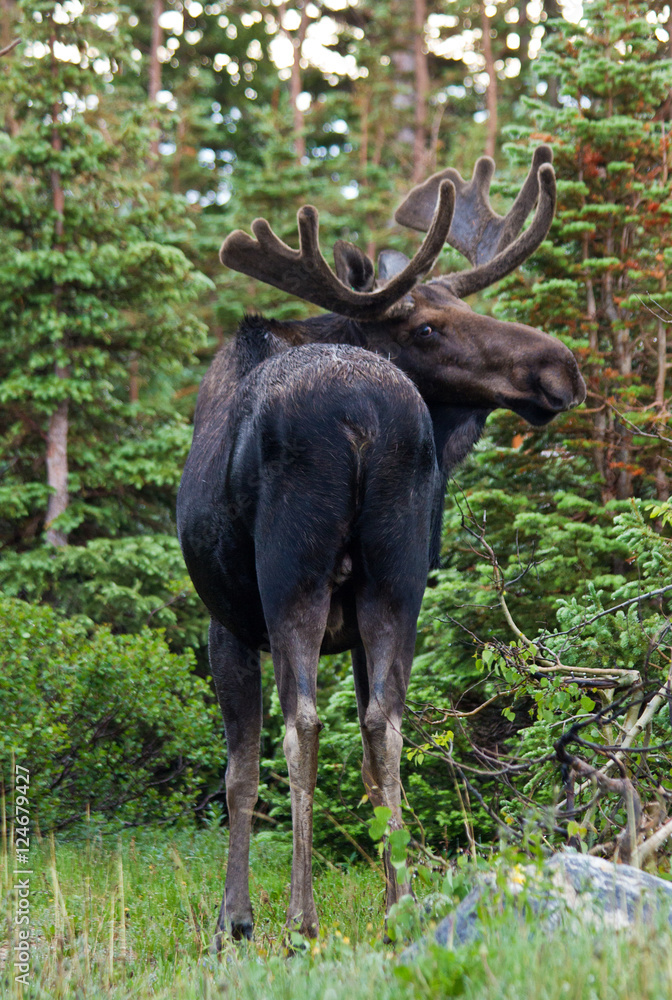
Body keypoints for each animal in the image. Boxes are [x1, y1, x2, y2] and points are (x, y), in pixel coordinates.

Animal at [176, 146, 586, 947]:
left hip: (292, 573)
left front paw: (233, 918)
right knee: (386, 724)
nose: (561, 366)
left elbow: (240, 773)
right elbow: (367, 753)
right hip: (397, 580)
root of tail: (362, 415)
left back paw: (300, 920)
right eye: (427, 327)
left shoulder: (225, 618)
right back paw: (399, 907)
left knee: (303, 725)